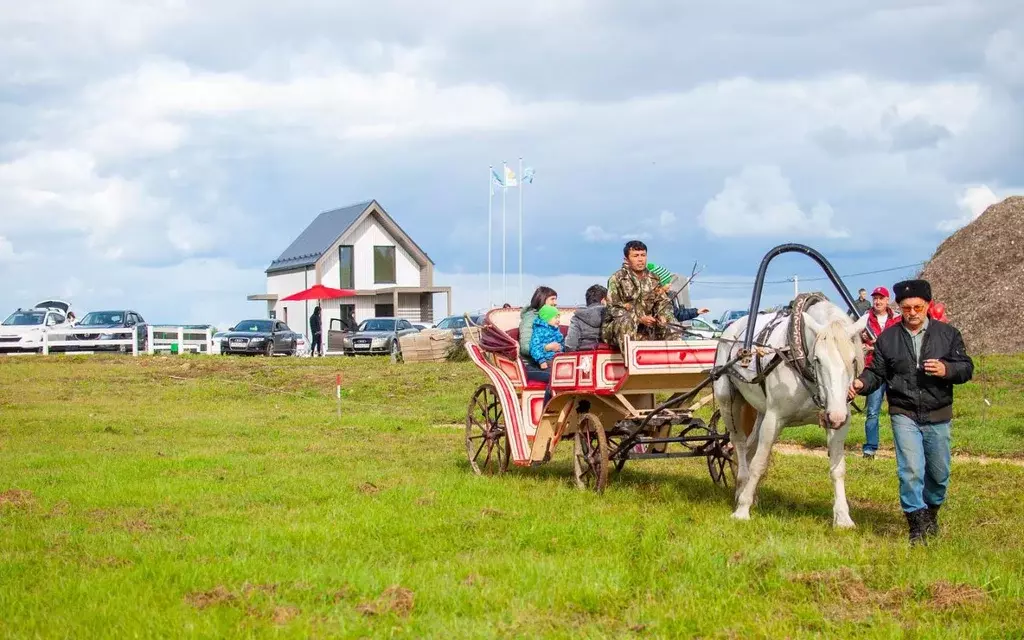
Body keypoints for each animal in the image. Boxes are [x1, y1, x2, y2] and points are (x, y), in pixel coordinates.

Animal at [716, 301, 868, 528]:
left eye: (853, 359)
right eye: (818, 359)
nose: (836, 416)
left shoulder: (838, 419)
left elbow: (838, 469)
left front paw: (842, 517)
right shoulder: (774, 418)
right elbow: (759, 463)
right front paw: (742, 510)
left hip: (760, 411)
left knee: (750, 446)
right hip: (728, 401)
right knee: (740, 444)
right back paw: (742, 485)